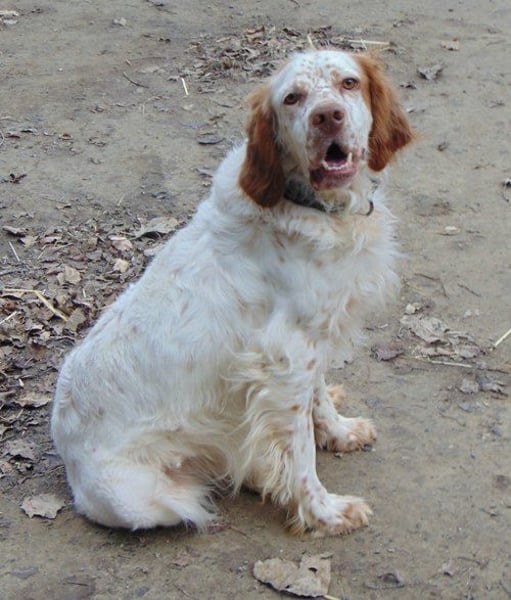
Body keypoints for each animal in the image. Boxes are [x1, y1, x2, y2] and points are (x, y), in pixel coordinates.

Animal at [52, 49, 413, 536]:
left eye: (349, 83)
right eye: (293, 98)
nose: (327, 117)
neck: (309, 205)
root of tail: (66, 454)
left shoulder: (309, 342)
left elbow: (317, 398)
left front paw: (338, 432)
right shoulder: (285, 358)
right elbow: (300, 453)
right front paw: (324, 513)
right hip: (151, 502)